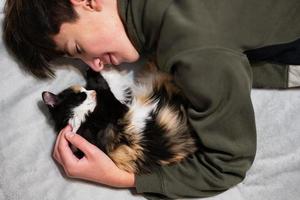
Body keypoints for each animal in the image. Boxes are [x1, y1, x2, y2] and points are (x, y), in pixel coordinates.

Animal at [42, 65, 197, 174]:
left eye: (85, 90)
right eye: (81, 96)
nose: (92, 92)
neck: (79, 121)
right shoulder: (115, 109)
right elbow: (104, 87)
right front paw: (93, 71)